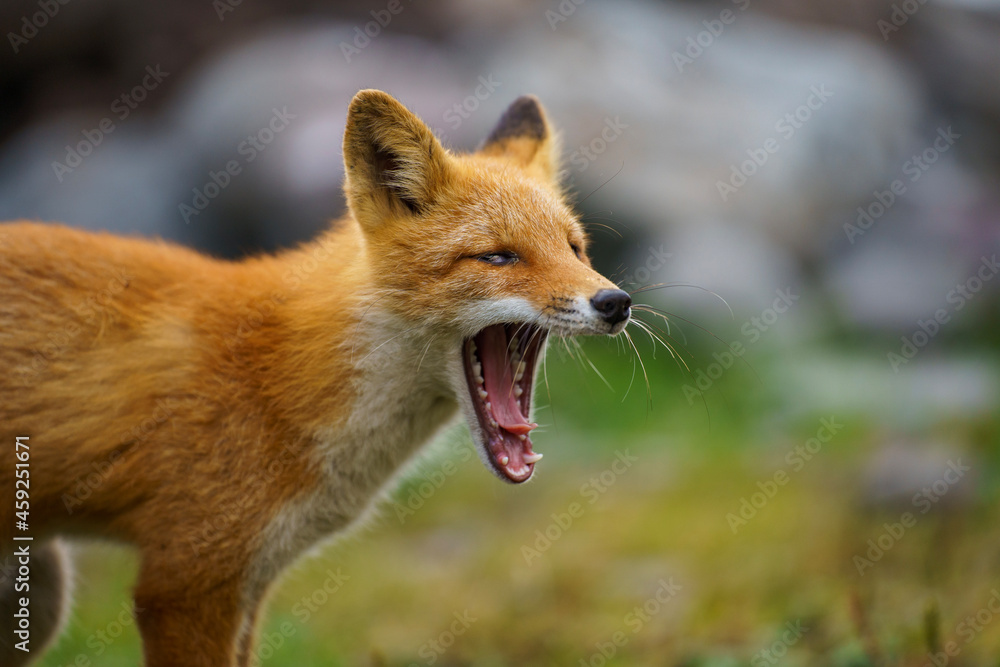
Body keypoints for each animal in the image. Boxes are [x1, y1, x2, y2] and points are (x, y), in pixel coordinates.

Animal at [0, 90, 632, 666]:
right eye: (499, 257)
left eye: (575, 249)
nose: (616, 302)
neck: (278, 374)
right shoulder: (185, 582)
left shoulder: (249, 583)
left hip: (41, 596)